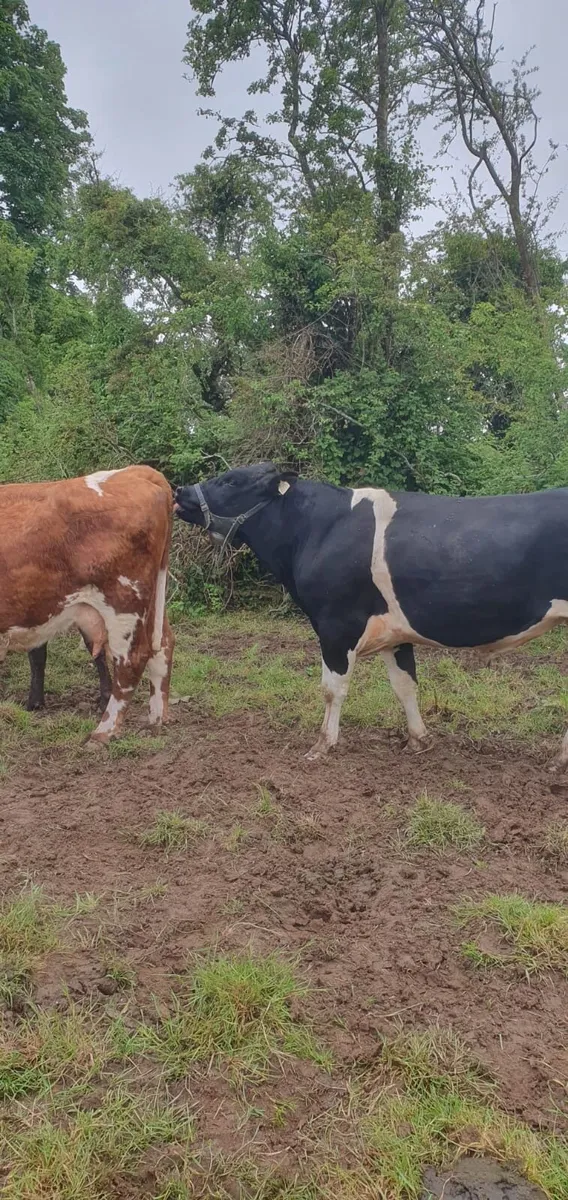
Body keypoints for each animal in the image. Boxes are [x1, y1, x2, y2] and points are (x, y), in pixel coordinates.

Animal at [0, 465, 174, 743]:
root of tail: (135, 472)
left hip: (123, 601)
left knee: (132, 659)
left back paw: (104, 731)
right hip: (153, 600)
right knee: (164, 646)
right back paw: (156, 721)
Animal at [174, 462, 568, 766]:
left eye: (231, 481)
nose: (180, 492)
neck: (316, 529)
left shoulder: (335, 625)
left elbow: (332, 688)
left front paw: (322, 745)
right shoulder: (394, 633)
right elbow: (405, 686)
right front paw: (418, 740)